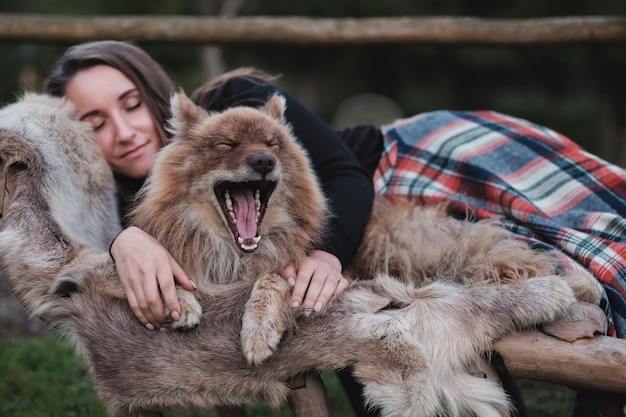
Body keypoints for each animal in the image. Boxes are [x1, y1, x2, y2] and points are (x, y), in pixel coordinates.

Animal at [0, 92, 584, 416]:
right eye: (226, 146)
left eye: (273, 144)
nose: (262, 161)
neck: (232, 254)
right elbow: (158, 275)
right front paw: (181, 303)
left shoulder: (285, 271)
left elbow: (277, 277)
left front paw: (260, 329)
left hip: (407, 251)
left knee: (511, 261)